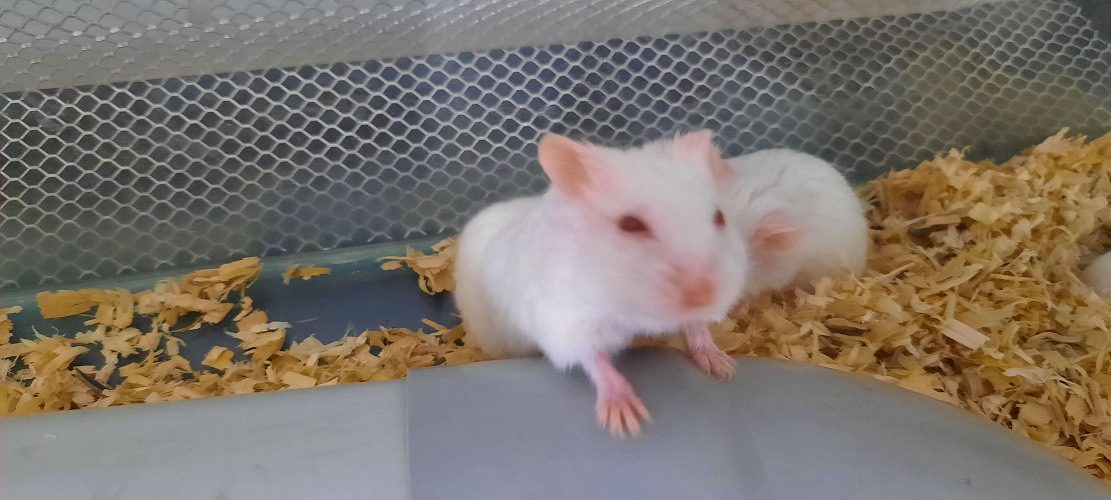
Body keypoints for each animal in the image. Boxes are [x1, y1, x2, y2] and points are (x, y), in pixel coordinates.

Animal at [453, 131, 749, 437]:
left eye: (720, 217)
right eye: (630, 224)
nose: (705, 296)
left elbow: (697, 327)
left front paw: (724, 367)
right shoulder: (567, 324)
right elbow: (595, 360)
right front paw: (627, 422)